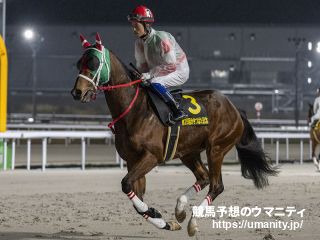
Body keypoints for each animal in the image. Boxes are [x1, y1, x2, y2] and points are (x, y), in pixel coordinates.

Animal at [71, 33, 276, 236]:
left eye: (94, 63)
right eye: (79, 63)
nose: (77, 92)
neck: (134, 110)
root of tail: (235, 109)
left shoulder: (151, 157)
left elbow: (126, 184)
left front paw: (157, 214)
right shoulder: (132, 160)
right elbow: (136, 197)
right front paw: (163, 220)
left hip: (217, 148)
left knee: (216, 185)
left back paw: (193, 222)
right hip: (189, 152)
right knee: (204, 177)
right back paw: (180, 209)